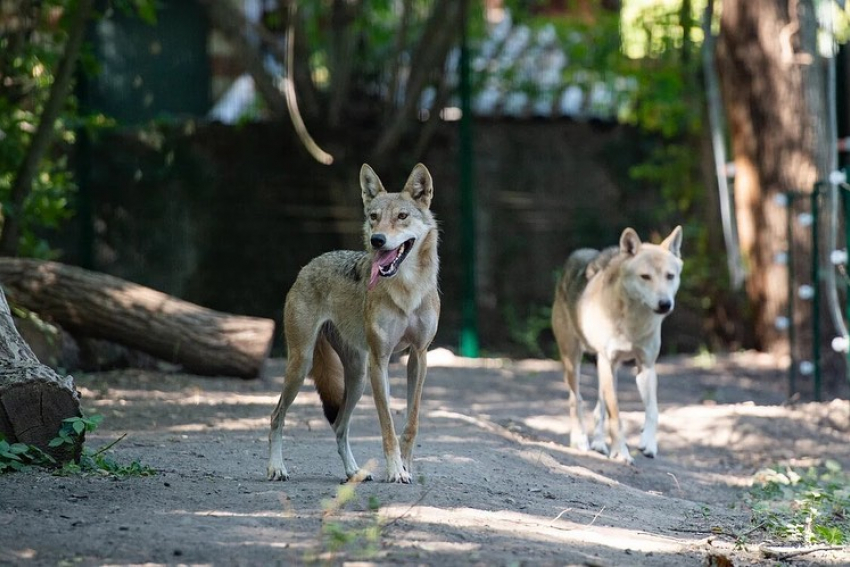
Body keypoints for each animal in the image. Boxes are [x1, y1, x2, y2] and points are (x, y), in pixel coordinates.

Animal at [264, 163, 438, 484]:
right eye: (374, 217)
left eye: (402, 216)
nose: (377, 240)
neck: (407, 289)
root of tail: (309, 264)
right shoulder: (380, 361)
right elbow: (387, 425)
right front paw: (395, 471)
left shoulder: (419, 356)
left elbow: (411, 422)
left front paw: (407, 467)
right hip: (303, 365)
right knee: (276, 415)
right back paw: (276, 468)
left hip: (356, 378)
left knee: (339, 427)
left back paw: (353, 472)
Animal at [548, 227, 684, 466]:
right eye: (645, 277)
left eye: (670, 276)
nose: (665, 304)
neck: (633, 323)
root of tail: (578, 254)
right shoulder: (605, 360)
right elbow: (616, 415)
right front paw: (621, 452)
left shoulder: (646, 366)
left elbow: (653, 410)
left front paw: (648, 444)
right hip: (575, 361)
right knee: (576, 399)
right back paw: (580, 440)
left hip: (610, 369)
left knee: (598, 407)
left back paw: (599, 443)